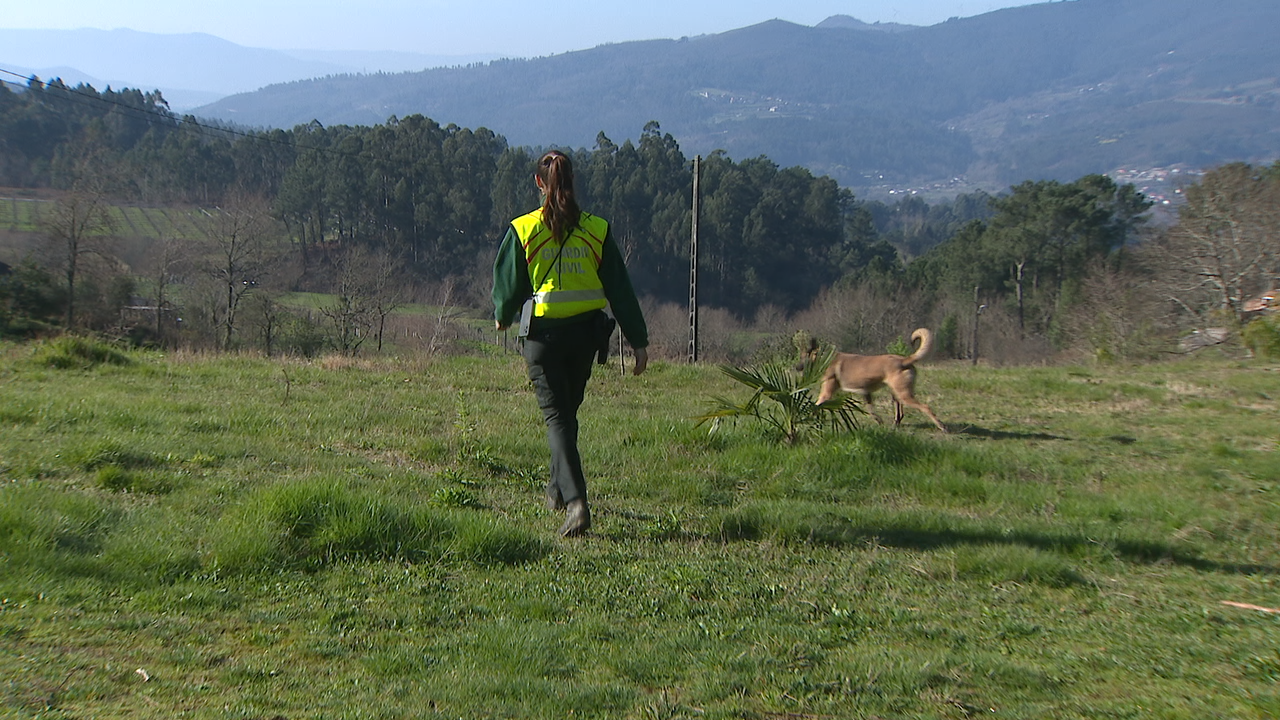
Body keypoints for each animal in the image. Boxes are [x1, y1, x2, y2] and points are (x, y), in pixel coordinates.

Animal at [803, 326, 947, 430]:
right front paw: (879, 421)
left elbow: (815, 405)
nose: (798, 368)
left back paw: (941, 426)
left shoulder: (826, 394)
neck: (825, 359)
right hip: (896, 392)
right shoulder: (866, 394)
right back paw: (896, 424)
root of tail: (904, 360)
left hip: (904, 394)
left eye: (803, 357)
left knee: (925, 407)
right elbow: (872, 411)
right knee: (899, 411)